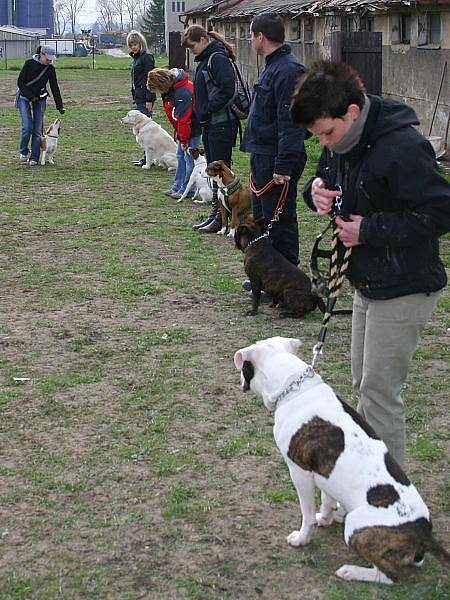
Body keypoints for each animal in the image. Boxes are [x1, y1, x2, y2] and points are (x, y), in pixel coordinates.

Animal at [234, 336, 448, 584]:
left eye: (244, 367)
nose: (240, 380)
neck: (295, 388)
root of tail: (424, 533)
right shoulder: (325, 474)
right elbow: (327, 498)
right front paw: (326, 518)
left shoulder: (299, 472)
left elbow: (307, 513)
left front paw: (301, 538)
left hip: (357, 527)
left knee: (389, 575)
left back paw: (350, 571)